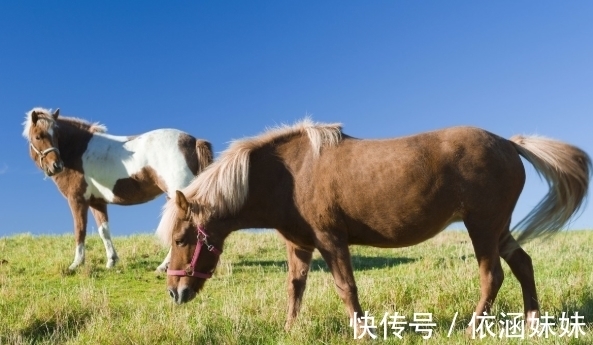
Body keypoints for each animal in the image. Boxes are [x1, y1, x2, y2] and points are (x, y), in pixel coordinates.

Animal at [23, 106, 213, 270]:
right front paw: (111, 261)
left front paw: (76, 264)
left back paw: (163, 266)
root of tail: (193, 141)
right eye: (38, 136)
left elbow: (80, 230)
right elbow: (104, 231)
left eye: (55, 135)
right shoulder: (97, 203)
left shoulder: (77, 200)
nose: (56, 166)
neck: (78, 150)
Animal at [156, 119, 588, 330]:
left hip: (482, 226)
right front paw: (289, 330)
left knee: (492, 275)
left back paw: (471, 328)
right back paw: (532, 323)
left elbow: (346, 288)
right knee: (523, 264)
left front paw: (362, 331)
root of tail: (510, 144)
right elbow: (295, 289)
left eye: (181, 238)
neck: (289, 175)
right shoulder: (299, 245)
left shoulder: (331, 240)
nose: (176, 293)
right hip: (497, 228)